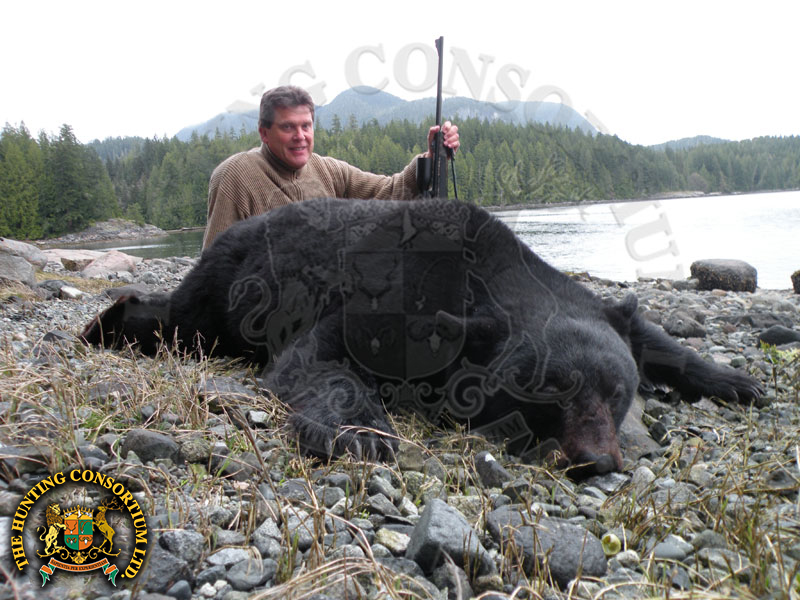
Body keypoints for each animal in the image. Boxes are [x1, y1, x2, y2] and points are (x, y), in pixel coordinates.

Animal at [82, 198, 762, 477]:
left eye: (616, 393)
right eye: (546, 394)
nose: (595, 460)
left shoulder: (594, 304)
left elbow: (650, 332)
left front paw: (734, 379)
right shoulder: (383, 299)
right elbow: (317, 361)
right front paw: (361, 432)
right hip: (224, 289)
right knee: (177, 319)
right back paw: (106, 322)